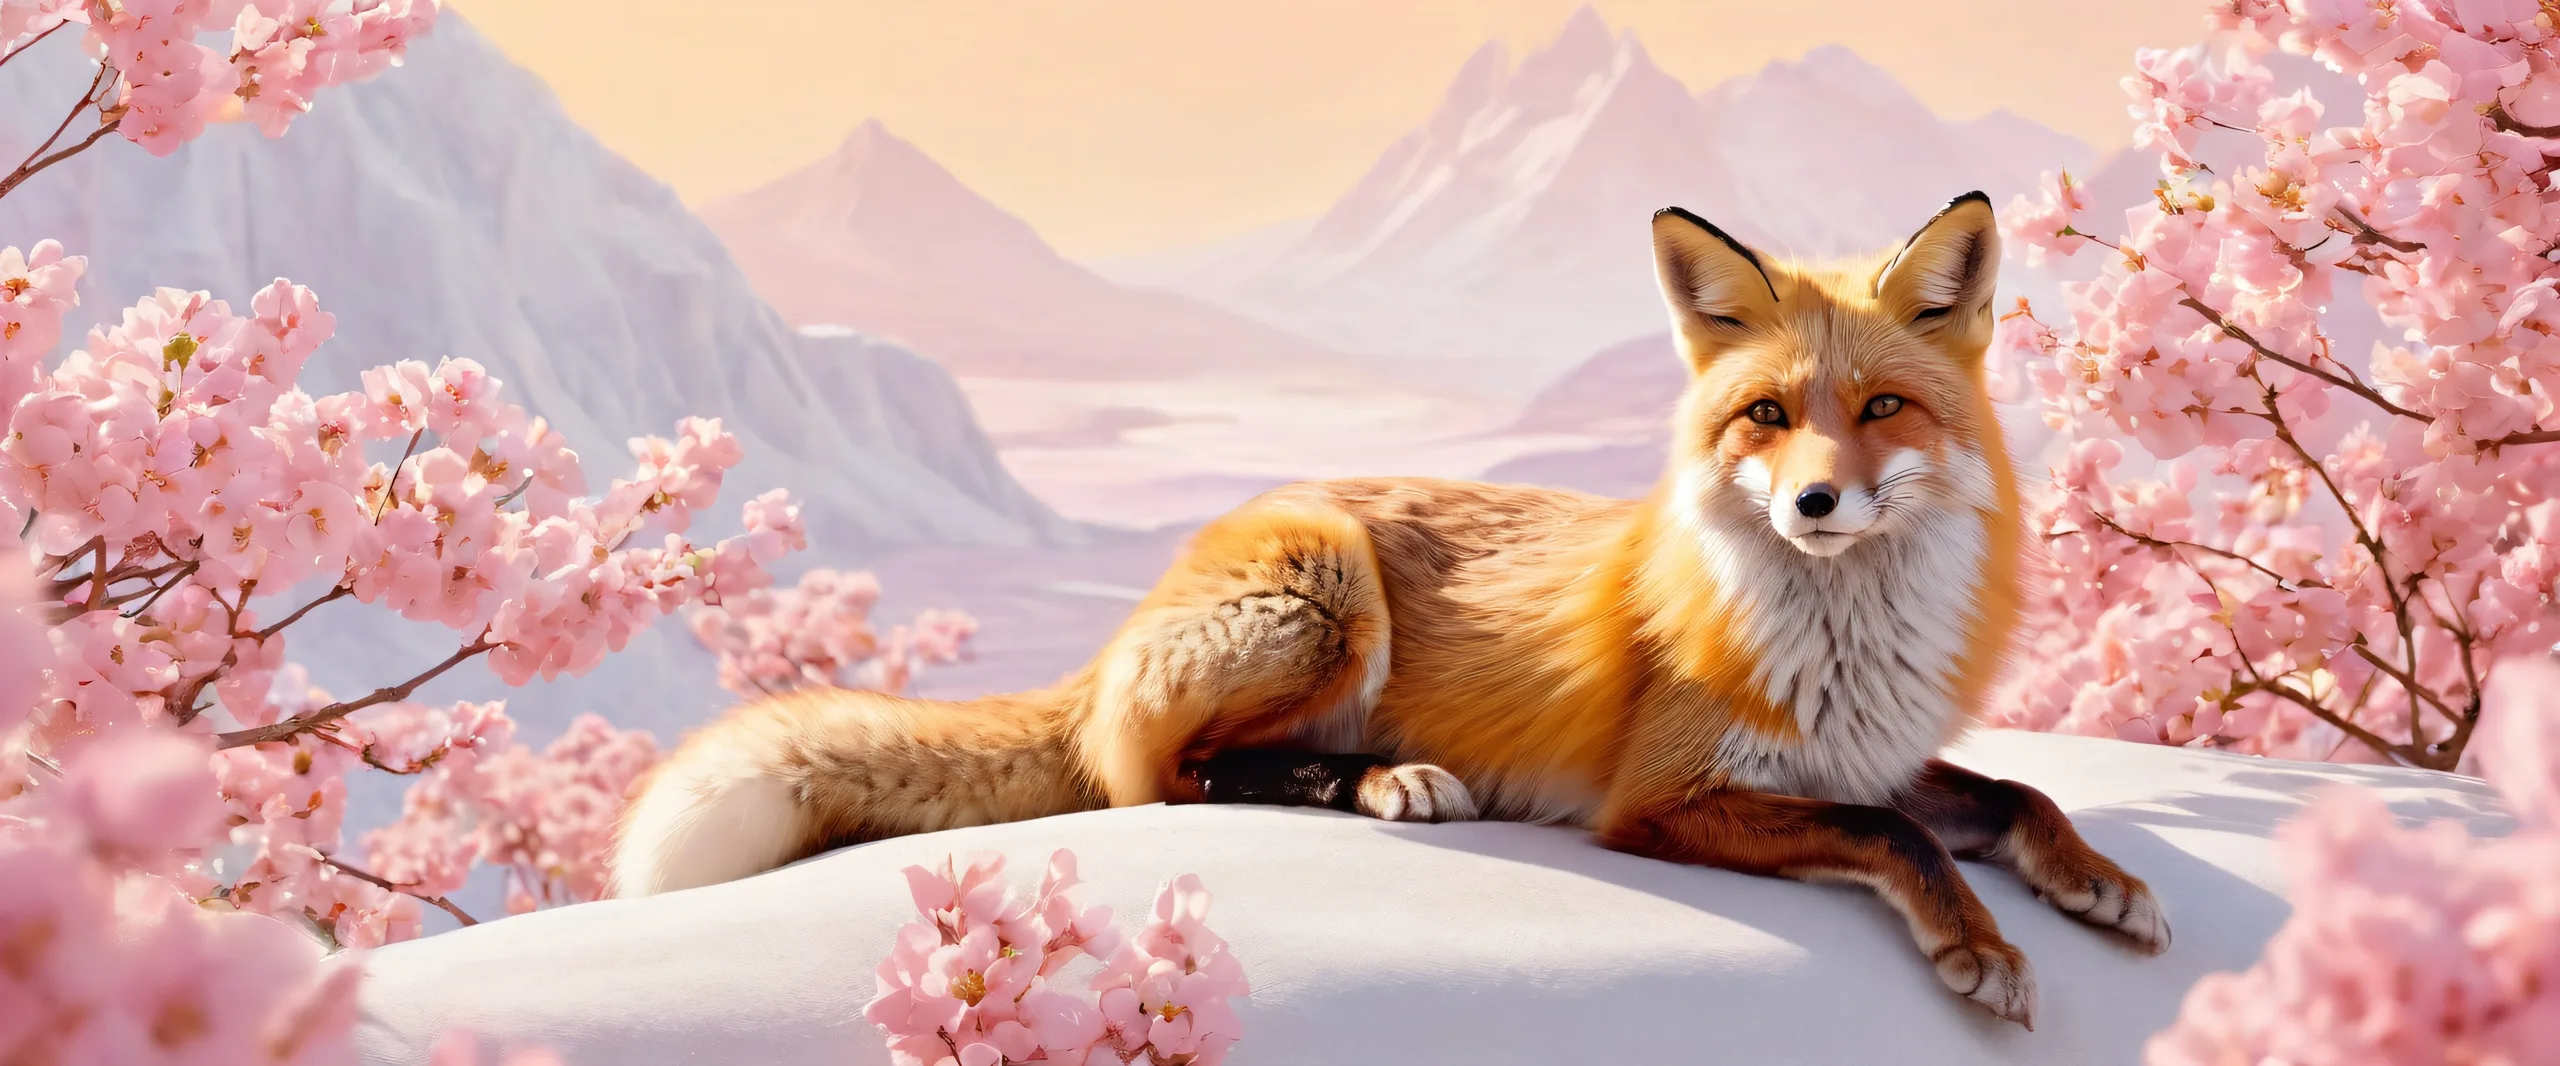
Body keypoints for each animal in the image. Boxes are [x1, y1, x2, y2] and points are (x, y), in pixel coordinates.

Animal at [610, 192, 2167, 1027]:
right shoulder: (1665, 800)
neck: (1839, 633)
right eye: (1769, 417)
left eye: (1884, 409)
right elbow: (1898, 835)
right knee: (1170, 776)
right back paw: (1388, 778)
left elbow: (2009, 792)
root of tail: (1125, 621)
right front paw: (1978, 945)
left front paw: (2094, 880)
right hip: (1323, 599)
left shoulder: (1866, 748)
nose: (1816, 505)